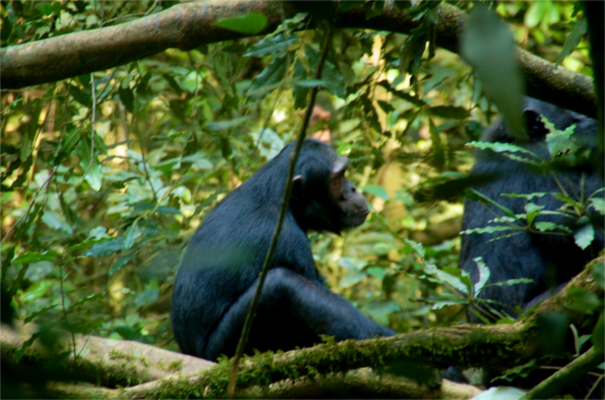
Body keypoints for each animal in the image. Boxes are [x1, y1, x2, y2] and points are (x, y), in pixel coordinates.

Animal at [171, 139, 396, 360]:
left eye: (345, 172)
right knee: (283, 284)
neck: (282, 200)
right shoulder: (288, 240)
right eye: (339, 176)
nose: (353, 188)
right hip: (223, 350)